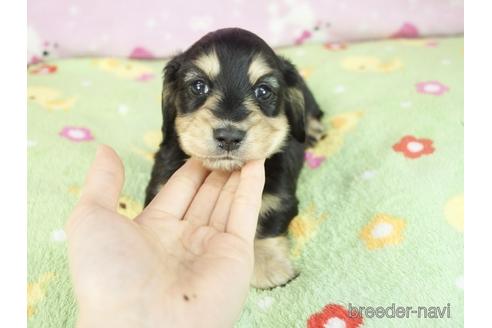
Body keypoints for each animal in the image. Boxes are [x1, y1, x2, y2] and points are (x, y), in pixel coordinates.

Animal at [144, 28, 324, 290]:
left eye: (263, 91)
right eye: (198, 86)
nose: (229, 137)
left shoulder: (279, 195)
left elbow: (267, 221)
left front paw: (268, 266)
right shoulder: (160, 185)